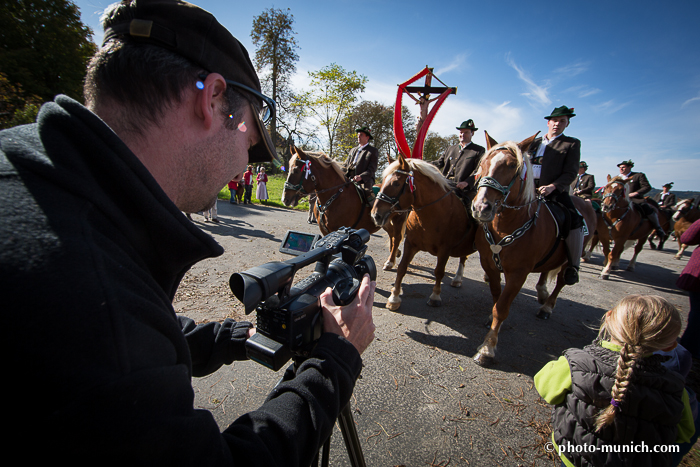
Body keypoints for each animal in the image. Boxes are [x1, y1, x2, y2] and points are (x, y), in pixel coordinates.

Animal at [372, 151, 476, 310]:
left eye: (396, 183)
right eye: (382, 182)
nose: (375, 215)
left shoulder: (445, 249)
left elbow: (439, 272)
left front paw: (435, 296)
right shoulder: (410, 244)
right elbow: (402, 268)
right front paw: (394, 298)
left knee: (463, 258)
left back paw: (458, 278)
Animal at [470, 133, 596, 368]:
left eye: (512, 166)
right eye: (482, 164)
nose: (482, 207)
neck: (507, 225)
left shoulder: (519, 273)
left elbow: (501, 307)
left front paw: (488, 348)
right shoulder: (489, 264)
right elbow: (496, 296)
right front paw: (492, 323)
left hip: (569, 259)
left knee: (562, 281)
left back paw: (547, 306)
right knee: (546, 270)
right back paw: (542, 291)